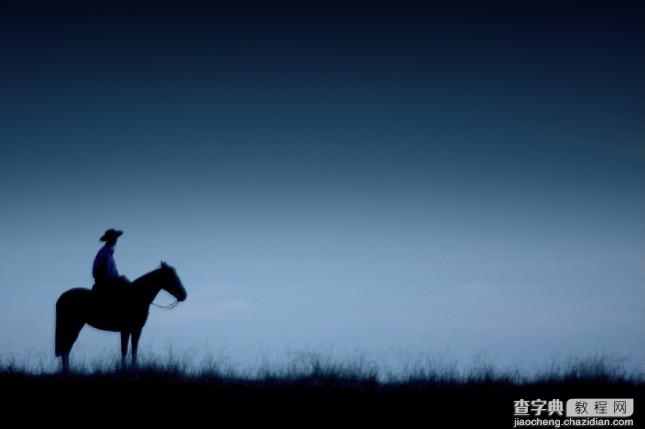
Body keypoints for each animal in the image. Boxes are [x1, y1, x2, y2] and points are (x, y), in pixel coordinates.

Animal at [55, 260, 186, 372]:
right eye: (171, 276)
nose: (184, 295)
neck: (136, 297)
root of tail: (62, 298)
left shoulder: (136, 329)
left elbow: (133, 349)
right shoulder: (126, 330)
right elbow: (125, 350)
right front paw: (125, 370)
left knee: (66, 347)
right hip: (72, 326)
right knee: (66, 346)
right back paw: (67, 371)